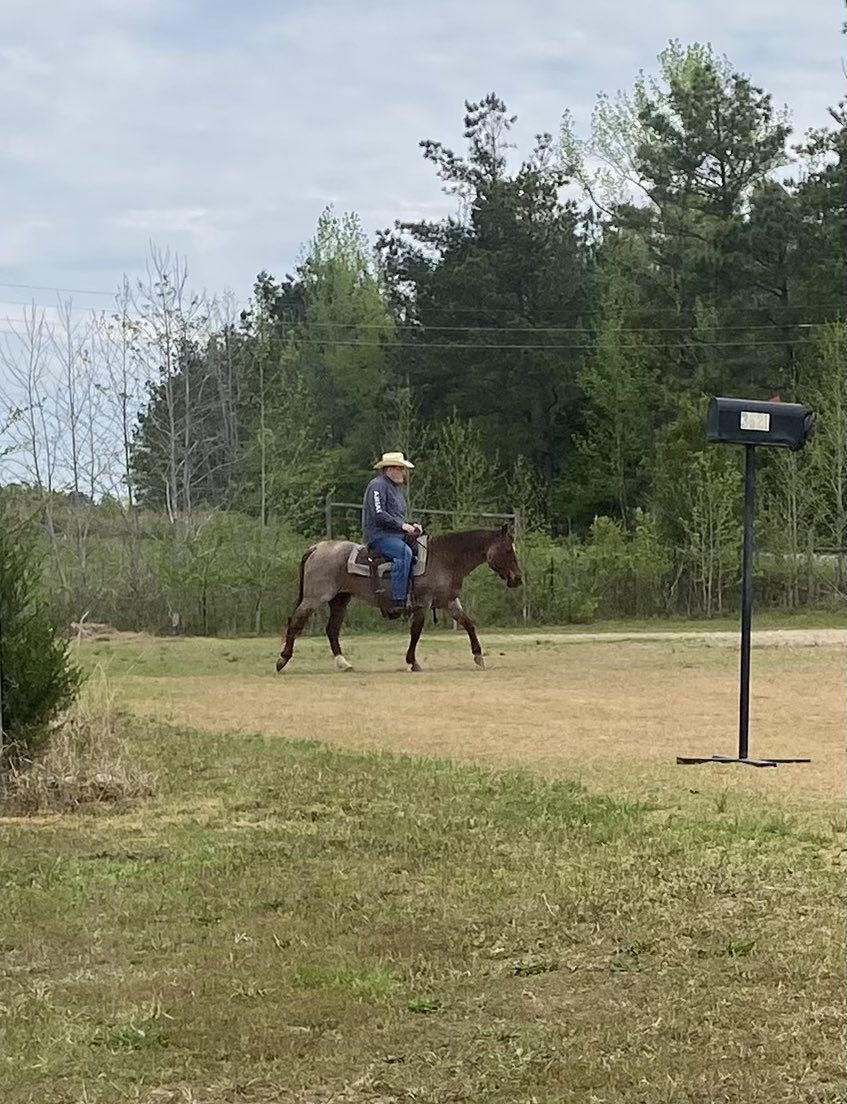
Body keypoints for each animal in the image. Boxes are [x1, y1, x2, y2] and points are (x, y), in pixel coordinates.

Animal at [275, 525, 523, 673]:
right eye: (508, 551)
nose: (518, 579)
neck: (444, 558)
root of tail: (317, 547)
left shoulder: (449, 602)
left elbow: (468, 624)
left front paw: (479, 656)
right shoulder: (423, 603)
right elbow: (416, 631)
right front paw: (413, 662)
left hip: (339, 600)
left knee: (332, 630)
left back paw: (343, 663)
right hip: (315, 598)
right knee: (295, 622)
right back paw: (282, 660)